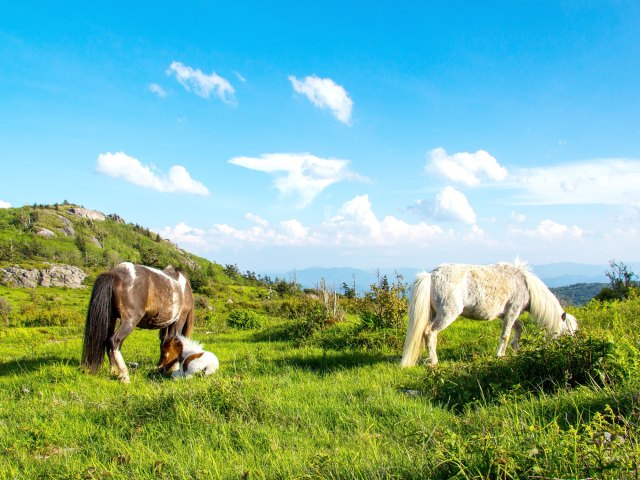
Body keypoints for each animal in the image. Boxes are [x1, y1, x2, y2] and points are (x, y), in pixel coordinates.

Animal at [398, 260, 576, 366]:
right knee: (430, 332)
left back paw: (431, 358)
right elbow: (505, 335)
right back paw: (434, 360)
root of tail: (431, 275)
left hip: (435, 314)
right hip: (447, 314)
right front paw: (500, 355)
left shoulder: (506, 315)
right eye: (568, 334)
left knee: (431, 335)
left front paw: (516, 349)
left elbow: (519, 328)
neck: (525, 285)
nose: (570, 349)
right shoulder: (512, 311)